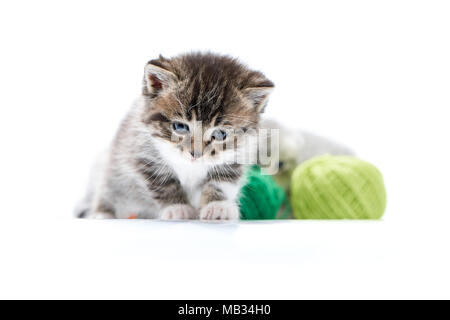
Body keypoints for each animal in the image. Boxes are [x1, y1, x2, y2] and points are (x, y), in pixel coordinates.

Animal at [77, 53, 272, 221]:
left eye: (220, 134)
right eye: (180, 127)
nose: (196, 154)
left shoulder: (238, 153)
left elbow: (223, 179)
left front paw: (218, 206)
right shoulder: (141, 149)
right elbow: (163, 181)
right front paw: (178, 208)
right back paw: (102, 214)